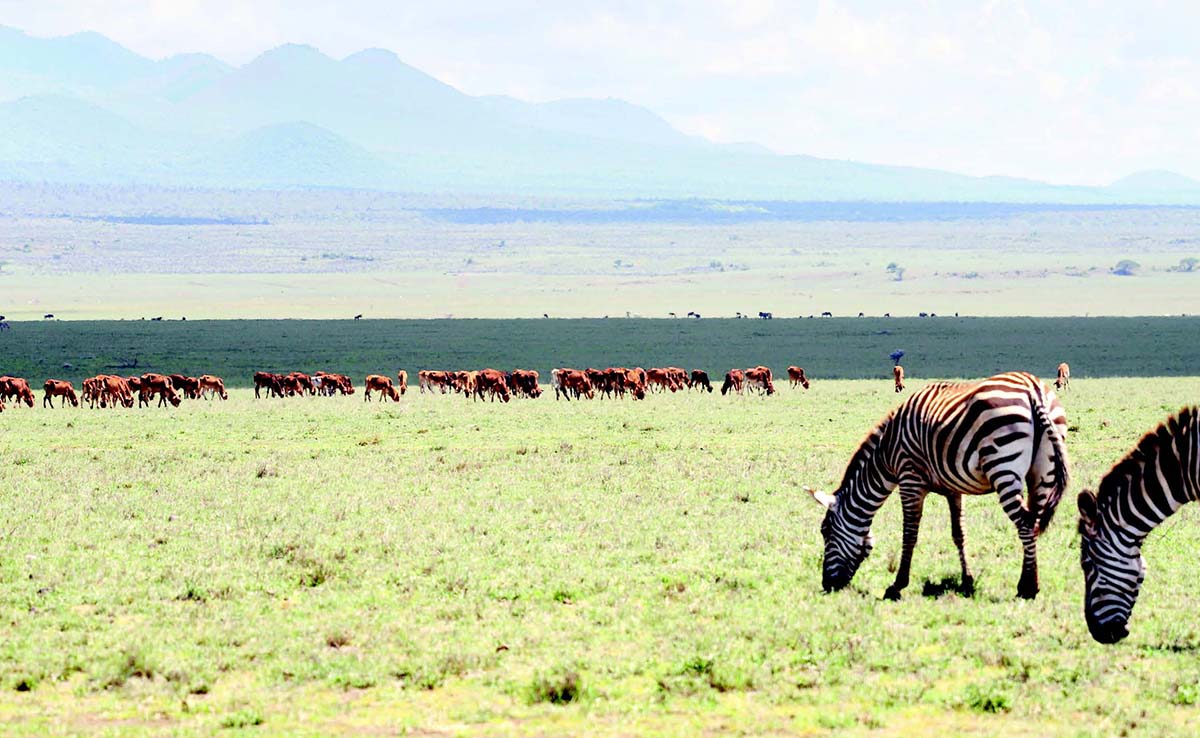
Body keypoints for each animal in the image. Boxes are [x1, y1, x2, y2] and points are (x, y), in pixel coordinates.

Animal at [806, 374, 1070, 600]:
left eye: (825, 531)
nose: (827, 585)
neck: (886, 453)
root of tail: (1032, 389)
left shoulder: (909, 478)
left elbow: (910, 534)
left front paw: (897, 585)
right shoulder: (953, 488)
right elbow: (959, 534)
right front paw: (967, 581)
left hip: (1002, 467)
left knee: (1024, 523)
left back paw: (1027, 588)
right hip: (1043, 472)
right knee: (1033, 522)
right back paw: (1029, 581)